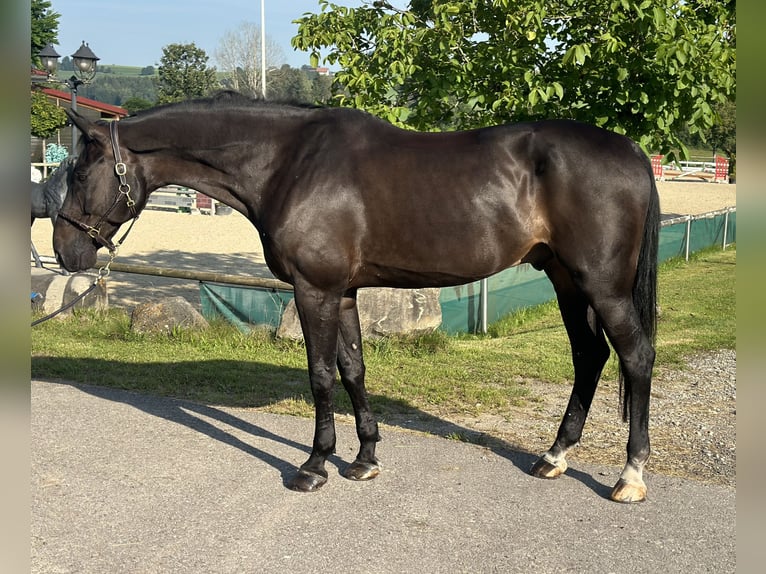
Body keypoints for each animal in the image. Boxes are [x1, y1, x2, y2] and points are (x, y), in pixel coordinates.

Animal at [52, 94, 660, 504]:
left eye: (79, 173)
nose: (65, 250)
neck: (289, 162)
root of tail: (632, 150)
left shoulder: (313, 290)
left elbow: (321, 374)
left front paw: (314, 465)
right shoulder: (342, 293)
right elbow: (352, 369)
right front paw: (365, 459)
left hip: (601, 285)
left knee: (634, 356)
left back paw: (629, 476)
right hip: (565, 280)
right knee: (590, 356)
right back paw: (554, 457)